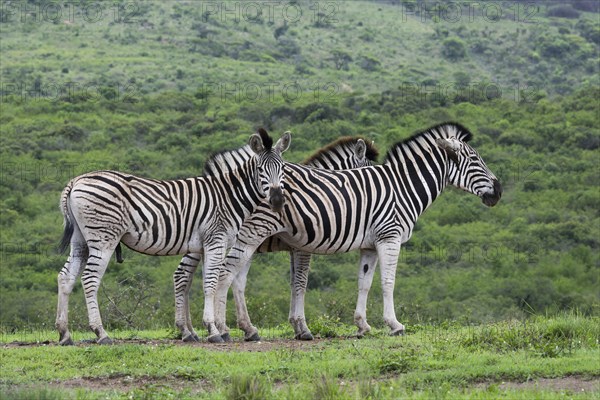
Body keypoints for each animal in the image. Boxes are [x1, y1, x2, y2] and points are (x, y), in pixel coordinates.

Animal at [56, 130, 290, 346]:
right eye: (260, 170)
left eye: (282, 169)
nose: (277, 201)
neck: (228, 196)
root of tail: (76, 180)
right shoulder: (216, 240)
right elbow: (211, 283)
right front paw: (214, 330)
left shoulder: (205, 246)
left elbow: (204, 283)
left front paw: (205, 329)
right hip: (103, 237)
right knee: (89, 278)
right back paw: (101, 333)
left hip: (80, 240)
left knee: (66, 277)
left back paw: (64, 333)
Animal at [175, 136, 380, 342]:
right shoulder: (302, 248)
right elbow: (301, 283)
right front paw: (303, 328)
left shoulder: (294, 248)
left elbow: (293, 282)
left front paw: (296, 326)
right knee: (183, 276)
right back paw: (195, 330)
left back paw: (195, 331)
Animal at [211, 122, 502, 340]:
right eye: (475, 159)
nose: (499, 191)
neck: (402, 188)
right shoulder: (388, 237)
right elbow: (387, 282)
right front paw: (394, 324)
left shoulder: (368, 245)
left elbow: (364, 283)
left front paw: (362, 325)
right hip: (251, 232)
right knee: (225, 274)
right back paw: (222, 329)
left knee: (231, 277)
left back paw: (237, 328)